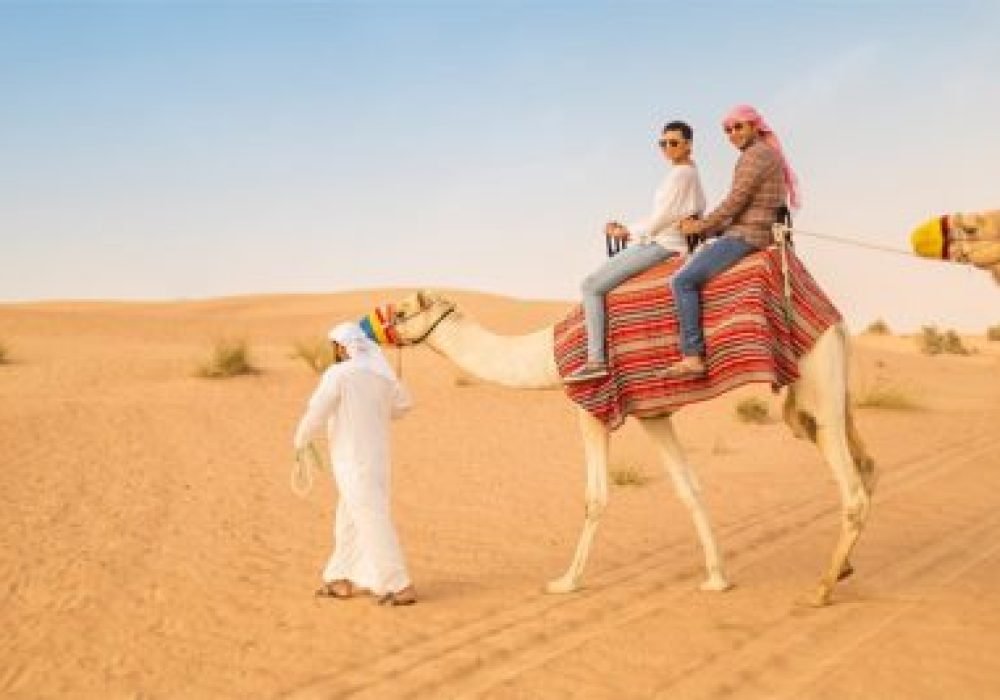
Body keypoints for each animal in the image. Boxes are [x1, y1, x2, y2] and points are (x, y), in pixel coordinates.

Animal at [386, 290, 876, 606]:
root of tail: (838, 322)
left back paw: (821, 588)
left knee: (851, 486)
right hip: (833, 388)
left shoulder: (590, 406)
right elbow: (688, 488)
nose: (381, 324)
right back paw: (846, 568)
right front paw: (717, 578)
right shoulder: (653, 413)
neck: (549, 355)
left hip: (815, 383)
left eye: (403, 310)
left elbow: (596, 497)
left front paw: (565, 582)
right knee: (867, 465)